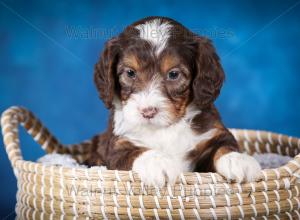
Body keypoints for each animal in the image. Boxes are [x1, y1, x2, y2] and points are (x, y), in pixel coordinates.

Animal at [85, 16, 262, 186]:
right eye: (130, 73)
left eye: (174, 74)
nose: (148, 112)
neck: (165, 128)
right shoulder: (117, 145)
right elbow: (134, 152)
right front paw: (157, 163)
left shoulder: (213, 133)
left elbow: (224, 145)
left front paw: (238, 160)